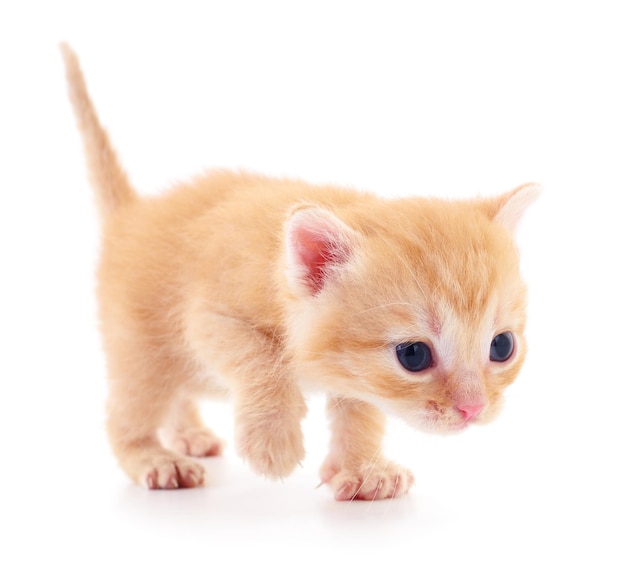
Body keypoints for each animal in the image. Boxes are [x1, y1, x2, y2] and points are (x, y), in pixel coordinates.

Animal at [59, 45, 536, 502]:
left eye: (502, 346)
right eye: (414, 355)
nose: (473, 409)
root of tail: (133, 215)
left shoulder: (354, 373)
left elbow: (359, 409)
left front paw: (363, 471)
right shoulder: (208, 317)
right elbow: (260, 357)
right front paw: (273, 442)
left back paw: (189, 433)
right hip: (140, 346)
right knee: (132, 409)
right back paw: (155, 458)